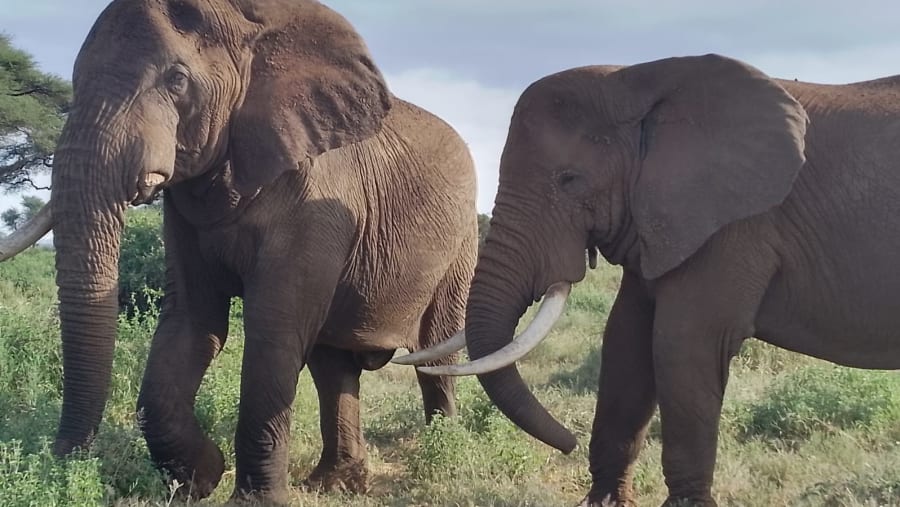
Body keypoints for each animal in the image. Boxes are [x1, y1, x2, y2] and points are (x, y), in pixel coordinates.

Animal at [0, 0, 477, 502]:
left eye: (176, 80)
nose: (62, 457)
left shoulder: (320, 198)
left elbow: (274, 328)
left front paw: (252, 500)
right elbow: (192, 321)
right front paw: (203, 476)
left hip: (462, 244)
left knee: (435, 354)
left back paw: (439, 453)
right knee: (332, 365)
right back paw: (336, 485)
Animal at [396, 54, 900, 506]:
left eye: (570, 180)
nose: (567, 442)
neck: (639, 81)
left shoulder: (733, 224)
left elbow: (681, 343)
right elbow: (626, 339)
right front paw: (603, 502)